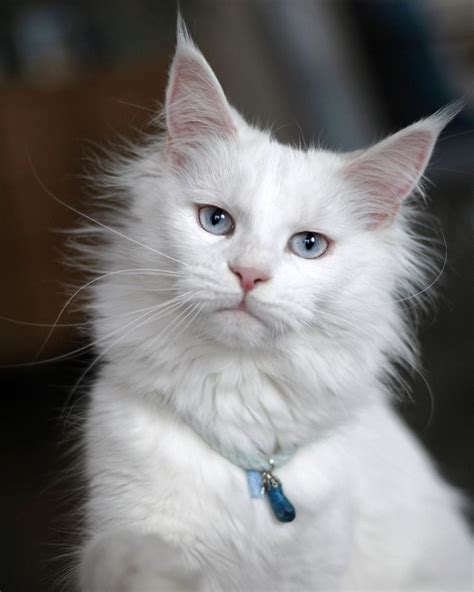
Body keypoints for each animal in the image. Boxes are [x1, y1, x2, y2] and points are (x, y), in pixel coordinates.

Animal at [79, 20, 472, 588]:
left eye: (308, 245)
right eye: (215, 221)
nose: (249, 274)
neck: (254, 471)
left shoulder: (312, 569)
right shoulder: (118, 518)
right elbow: (128, 555)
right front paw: (148, 563)